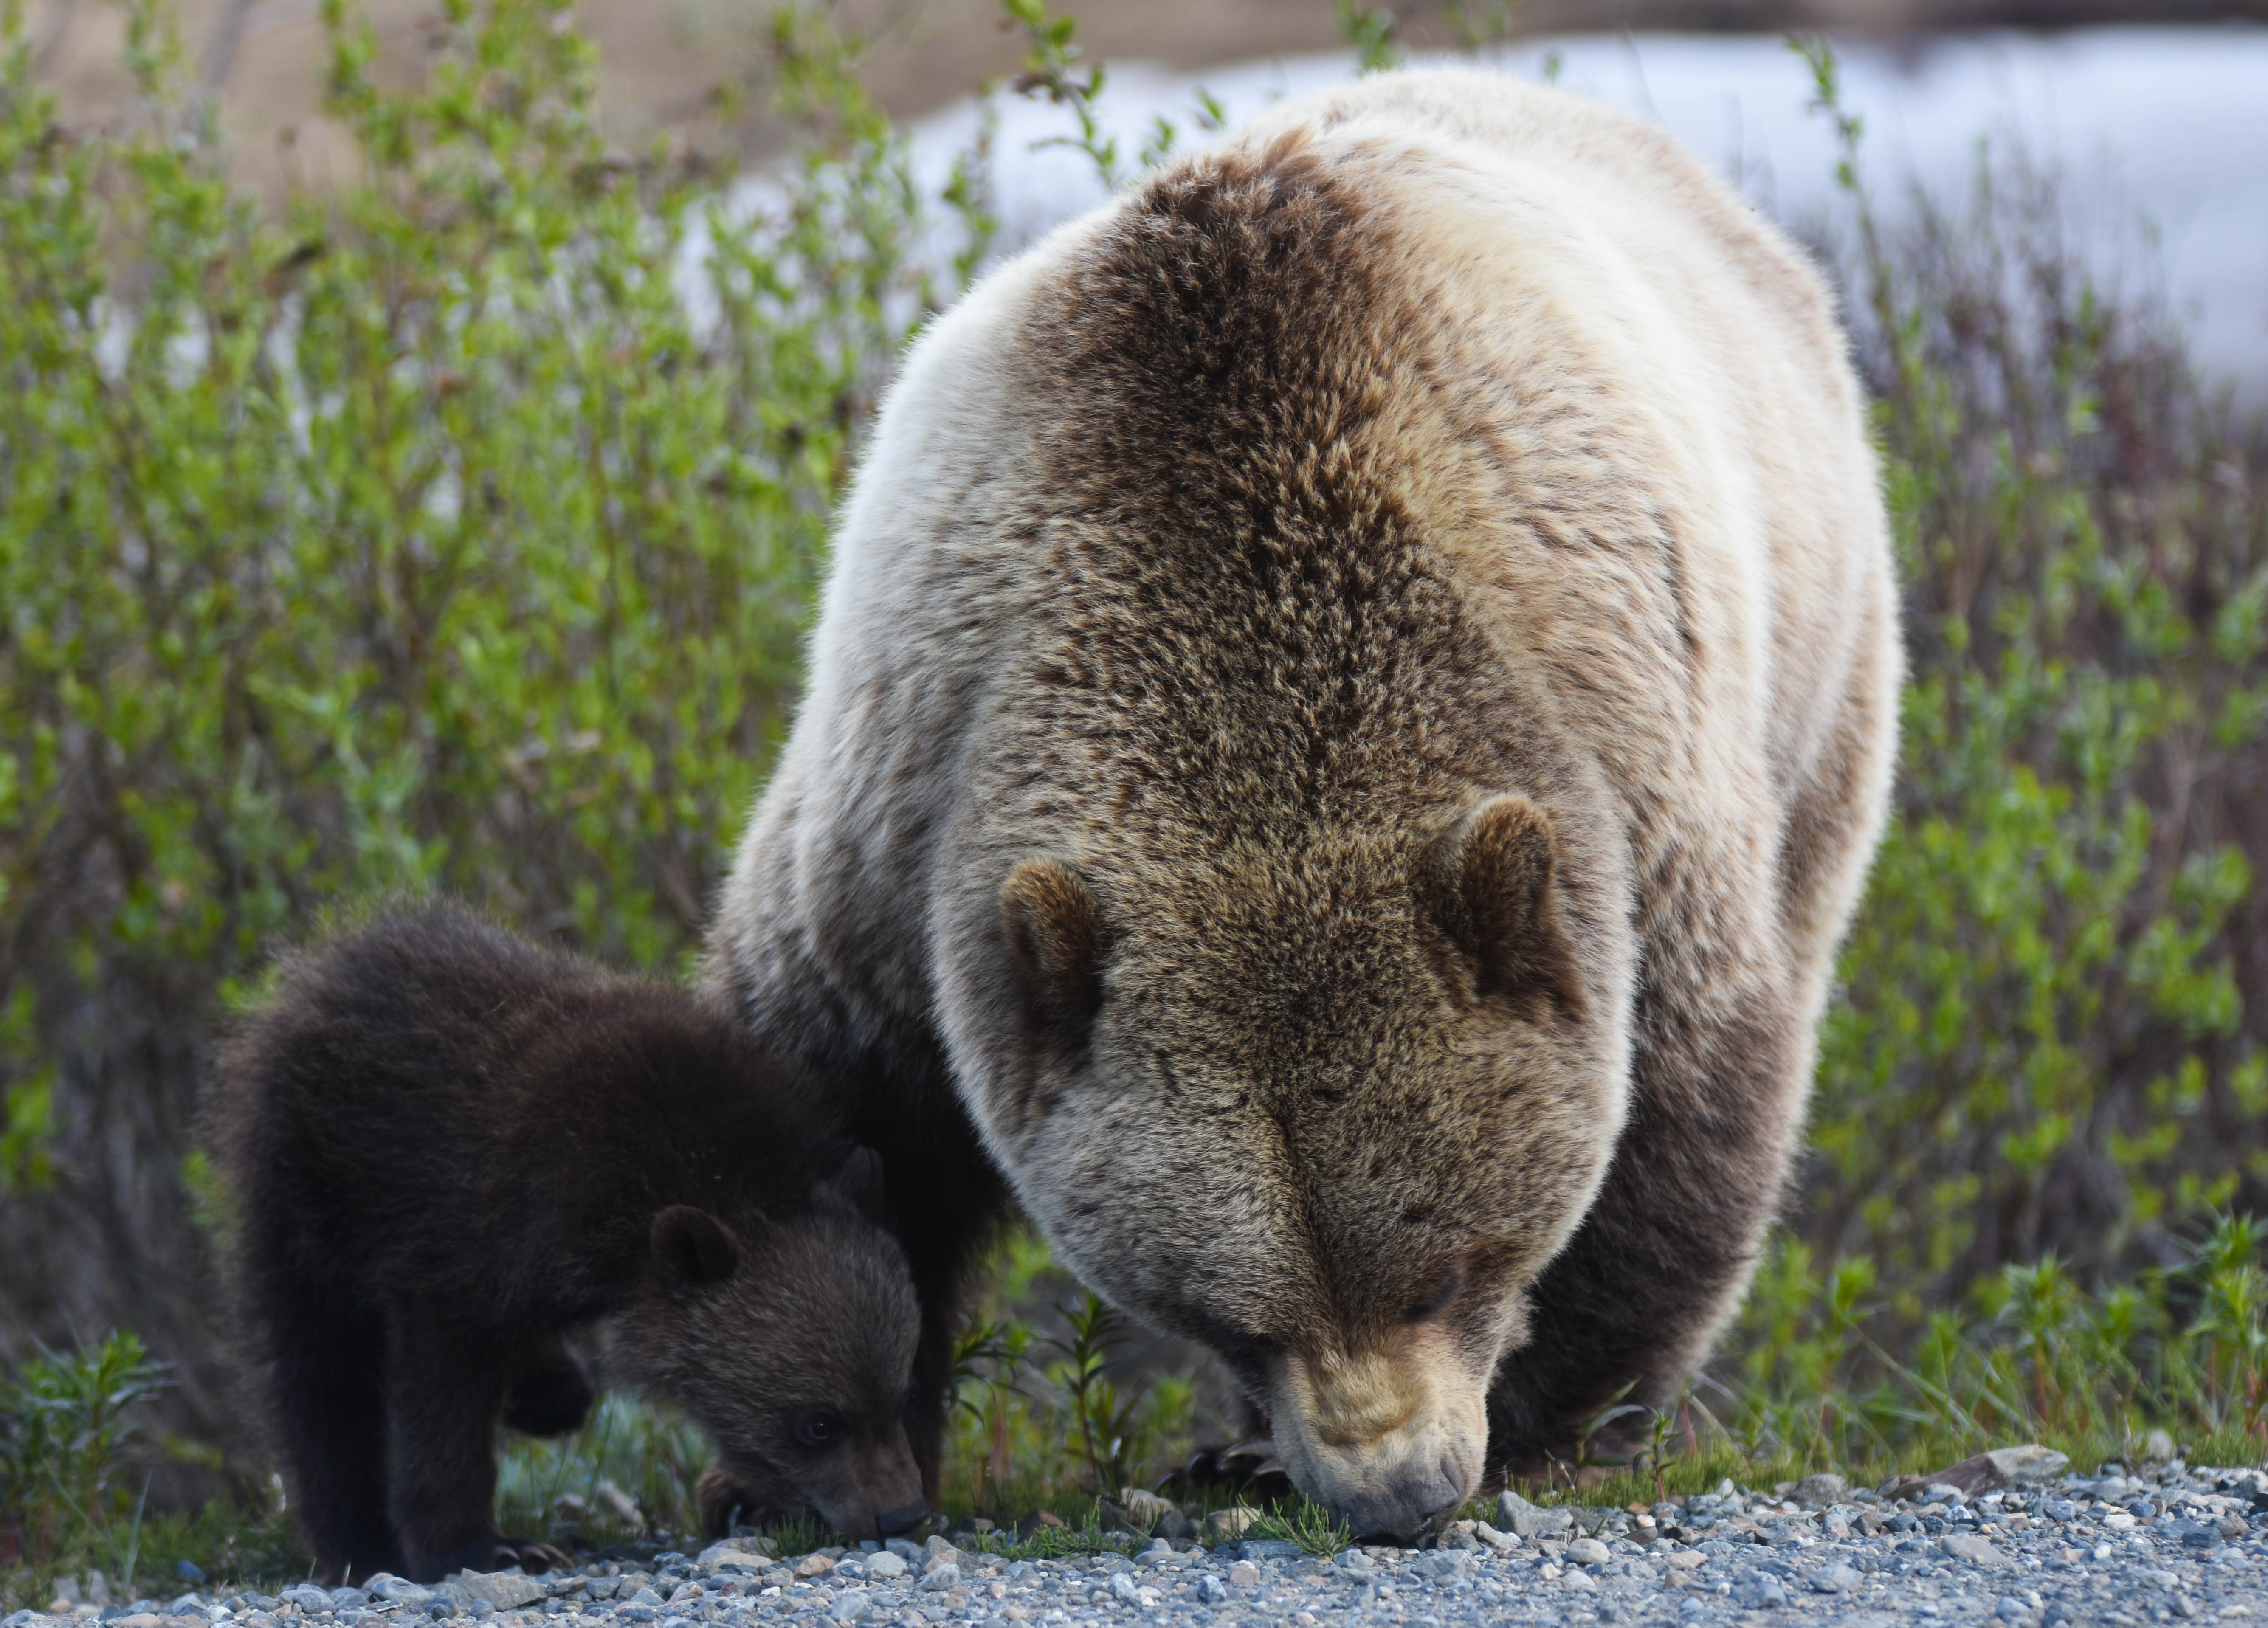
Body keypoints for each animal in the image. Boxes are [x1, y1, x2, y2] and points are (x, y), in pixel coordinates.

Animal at [707, 67, 1896, 1542]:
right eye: (1233, 1315)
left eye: (1446, 1265)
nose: (1398, 1489)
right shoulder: (908, 804)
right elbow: (832, 1119)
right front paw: (781, 1456)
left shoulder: (1625, 773)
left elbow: (1678, 1104)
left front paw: (1552, 1416)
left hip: (1818, 659)